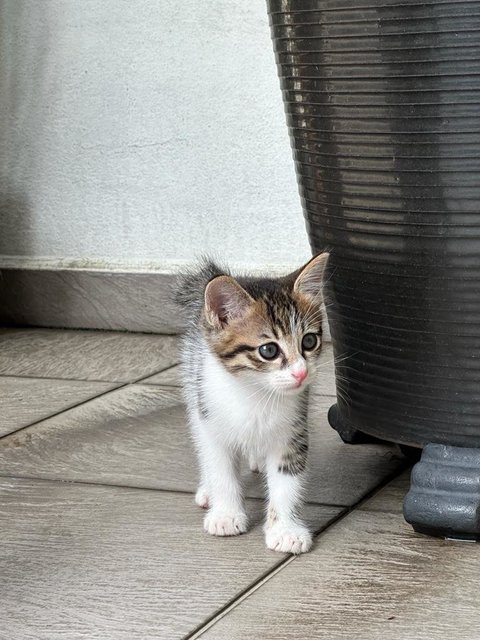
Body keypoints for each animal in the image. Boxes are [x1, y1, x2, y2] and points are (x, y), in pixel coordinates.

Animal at [176, 252, 330, 552]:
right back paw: (207, 490)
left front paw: (285, 530)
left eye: (309, 341)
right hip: (194, 388)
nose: (301, 373)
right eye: (269, 350)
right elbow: (220, 469)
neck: (257, 393)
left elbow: (286, 483)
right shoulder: (211, 421)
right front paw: (226, 515)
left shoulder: (291, 432)